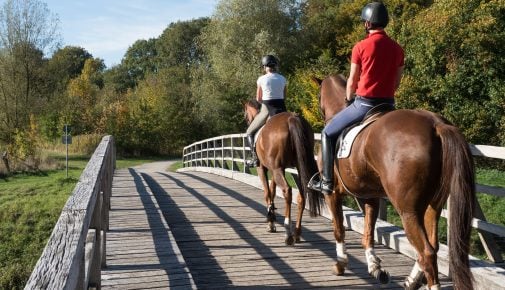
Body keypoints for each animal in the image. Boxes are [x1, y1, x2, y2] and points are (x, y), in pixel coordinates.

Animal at [242, 99, 316, 245]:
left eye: (246, 113)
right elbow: (272, 191)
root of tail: (292, 118)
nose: (247, 120)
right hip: (298, 167)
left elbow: (267, 193)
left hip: (277, 169)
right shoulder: (274, 169)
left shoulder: (262, 168)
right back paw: (297, 233)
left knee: (287, 191)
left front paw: (270, 222)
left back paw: (288, 234)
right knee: (302, 195)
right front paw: (272, 216)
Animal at [314, 75, 474, 290]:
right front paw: (375, 268)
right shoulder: (369, 196)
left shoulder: (331, 194)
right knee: (432, 245)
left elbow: (339, 229)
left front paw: (340, 264)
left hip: (408, 211)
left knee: (426, 252)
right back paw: (412, 280)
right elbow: (368, 233)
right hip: (433, 205)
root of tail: (435, 124)